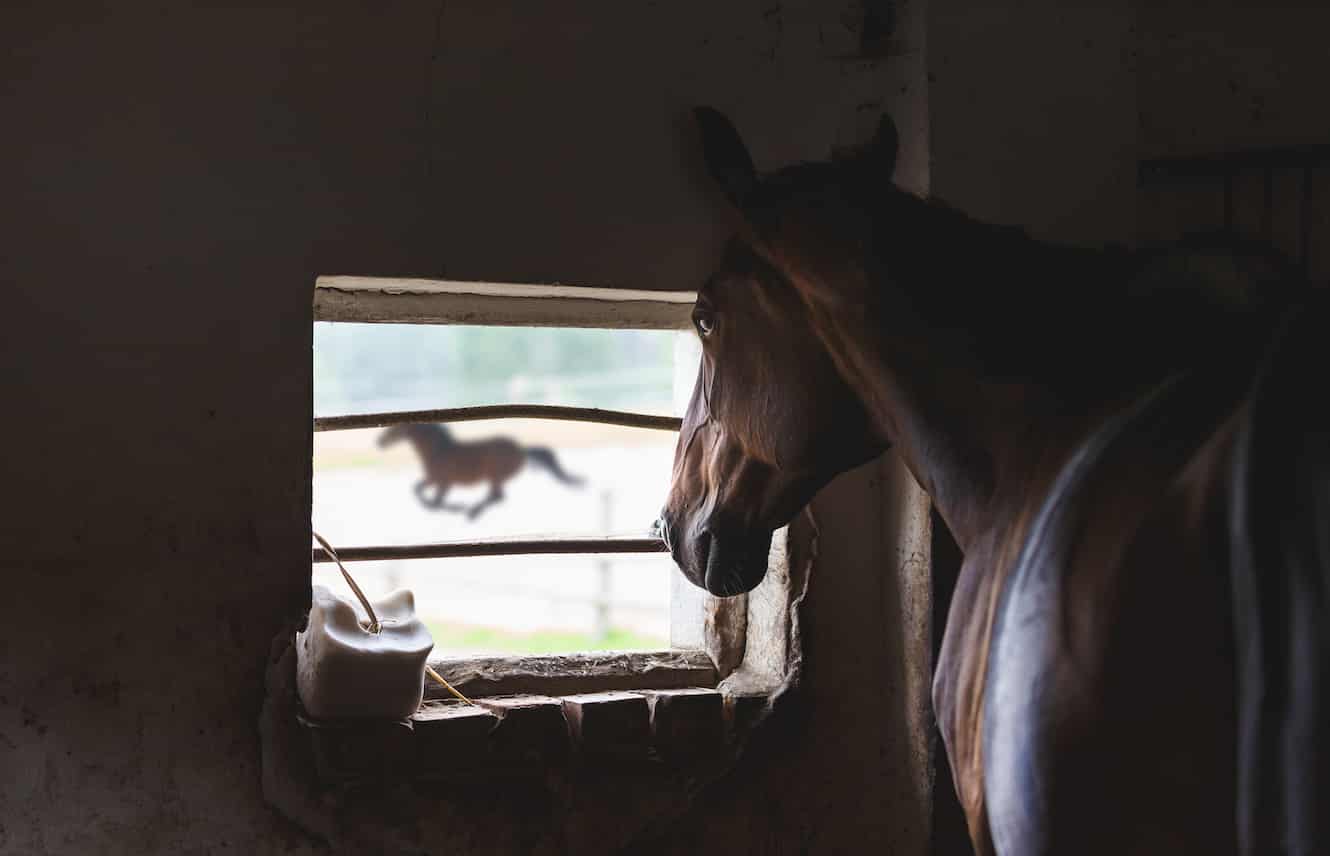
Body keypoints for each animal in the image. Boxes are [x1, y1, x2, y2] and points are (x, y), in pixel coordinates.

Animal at [375, 422, 582, 521]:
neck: (439, 451)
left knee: (497, 497)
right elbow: (418, 491)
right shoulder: (433, 480)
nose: (379, 442)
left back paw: (471, 513)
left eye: (395, 429)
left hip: (494, 476)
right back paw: (472, 512)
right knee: (497, 497)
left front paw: (458, 507)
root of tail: (522, 450)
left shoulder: (444, 483)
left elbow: (435, 502)